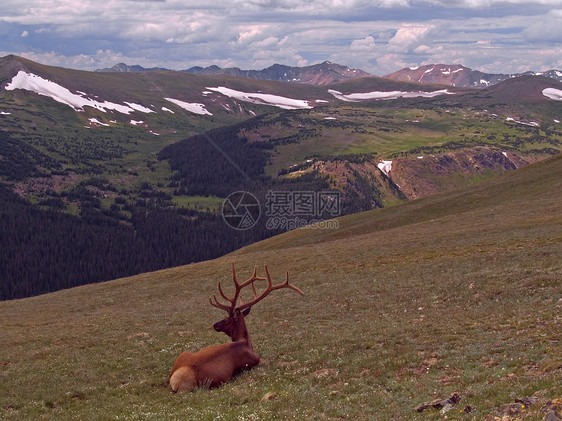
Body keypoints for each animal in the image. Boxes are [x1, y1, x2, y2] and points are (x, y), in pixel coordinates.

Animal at [168, 260, 302, 392]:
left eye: (227, 320)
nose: (215, 325)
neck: (246, 343)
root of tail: (175, 381)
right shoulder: (254, 360)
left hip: (184, 353)